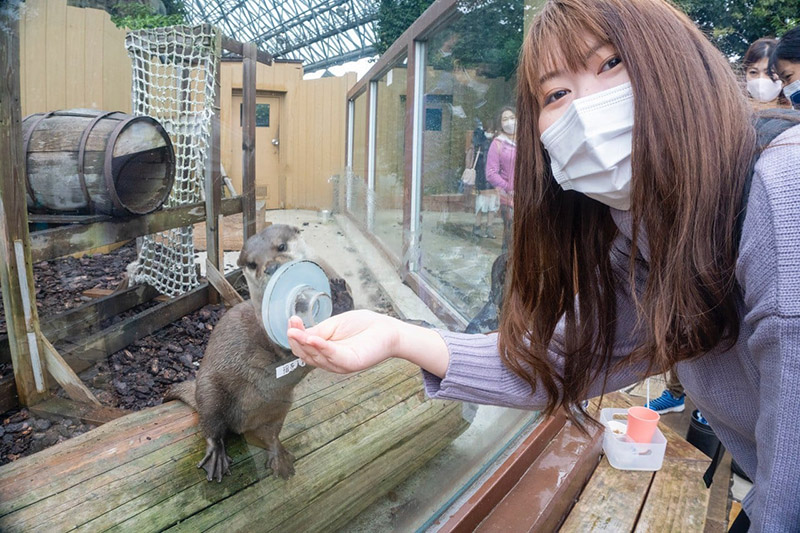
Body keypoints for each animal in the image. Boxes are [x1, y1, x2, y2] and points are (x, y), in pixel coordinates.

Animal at [166, 222, 354, 480]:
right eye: (253, 263)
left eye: (281, 246)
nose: (271, 267)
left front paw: (337, 294)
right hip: (210, 390)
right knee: (212, 426)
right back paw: (217, 456)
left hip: (281, 406)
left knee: (270, 434)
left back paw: (279, 458)